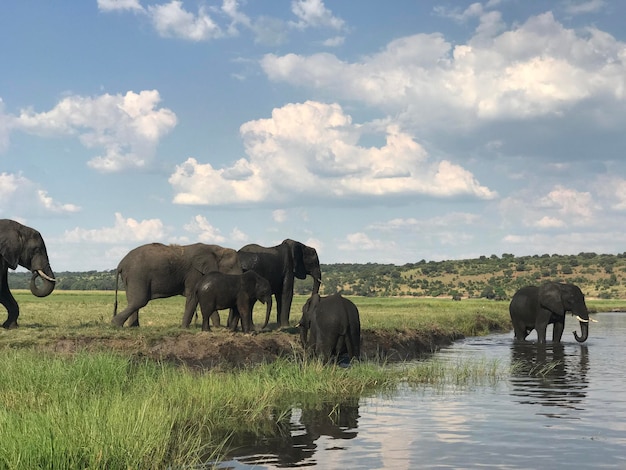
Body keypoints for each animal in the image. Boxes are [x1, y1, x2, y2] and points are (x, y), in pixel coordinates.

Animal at [111, 242, 240, 326]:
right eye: (230, 267)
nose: (227, 327)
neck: (217, 249)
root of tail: (120, 263)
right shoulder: (195, 273)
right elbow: (193, 297)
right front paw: (184, 329)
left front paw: (217, 328)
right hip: (137, 275)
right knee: (139, 301)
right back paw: (115, 325)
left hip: (130, 278)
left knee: (133, 301)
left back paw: (133, 327)